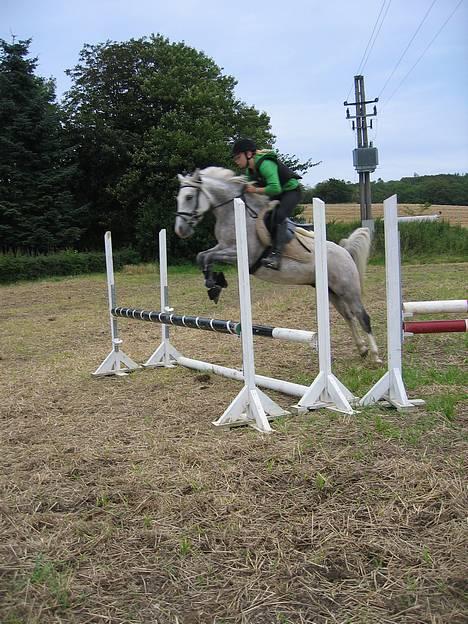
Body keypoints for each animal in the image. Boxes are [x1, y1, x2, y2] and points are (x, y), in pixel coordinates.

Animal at [174, 166, 382, 364]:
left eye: (189, 197)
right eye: (178, 198)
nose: (180, 230)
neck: (232, 212)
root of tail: (345, 252)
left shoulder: (242, 254)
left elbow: (207, 257)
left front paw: (215, 283)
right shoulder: (223, 247)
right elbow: (202, 256)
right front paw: (214, 284)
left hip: (348, 289)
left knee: (362, 316)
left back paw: (376, 355)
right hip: (331, 292)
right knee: (348, 316)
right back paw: (362, 349)